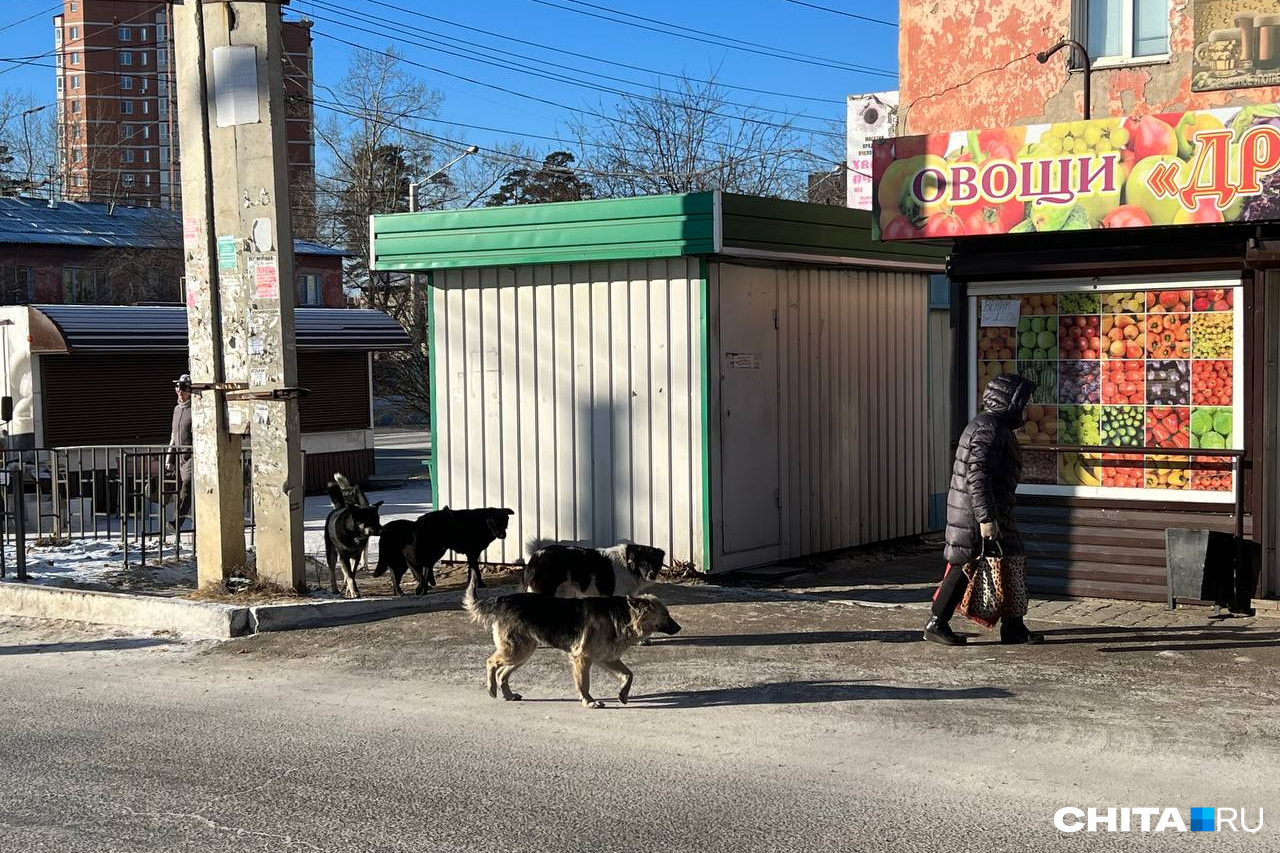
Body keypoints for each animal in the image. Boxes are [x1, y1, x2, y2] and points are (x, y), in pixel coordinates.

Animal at [460, 573, 680, 706]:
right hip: (515, 650)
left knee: (502, 673)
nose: (679, 628)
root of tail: (503, 599)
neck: (623, 616)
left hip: (523, 651)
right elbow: (584, 684)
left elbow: (629, 675)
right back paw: (491, 689)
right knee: (491, 662)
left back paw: (508, 694)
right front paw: (589, 701)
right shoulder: (582, 659)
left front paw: (623, 695)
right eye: (666, 615)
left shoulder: (605, 658)